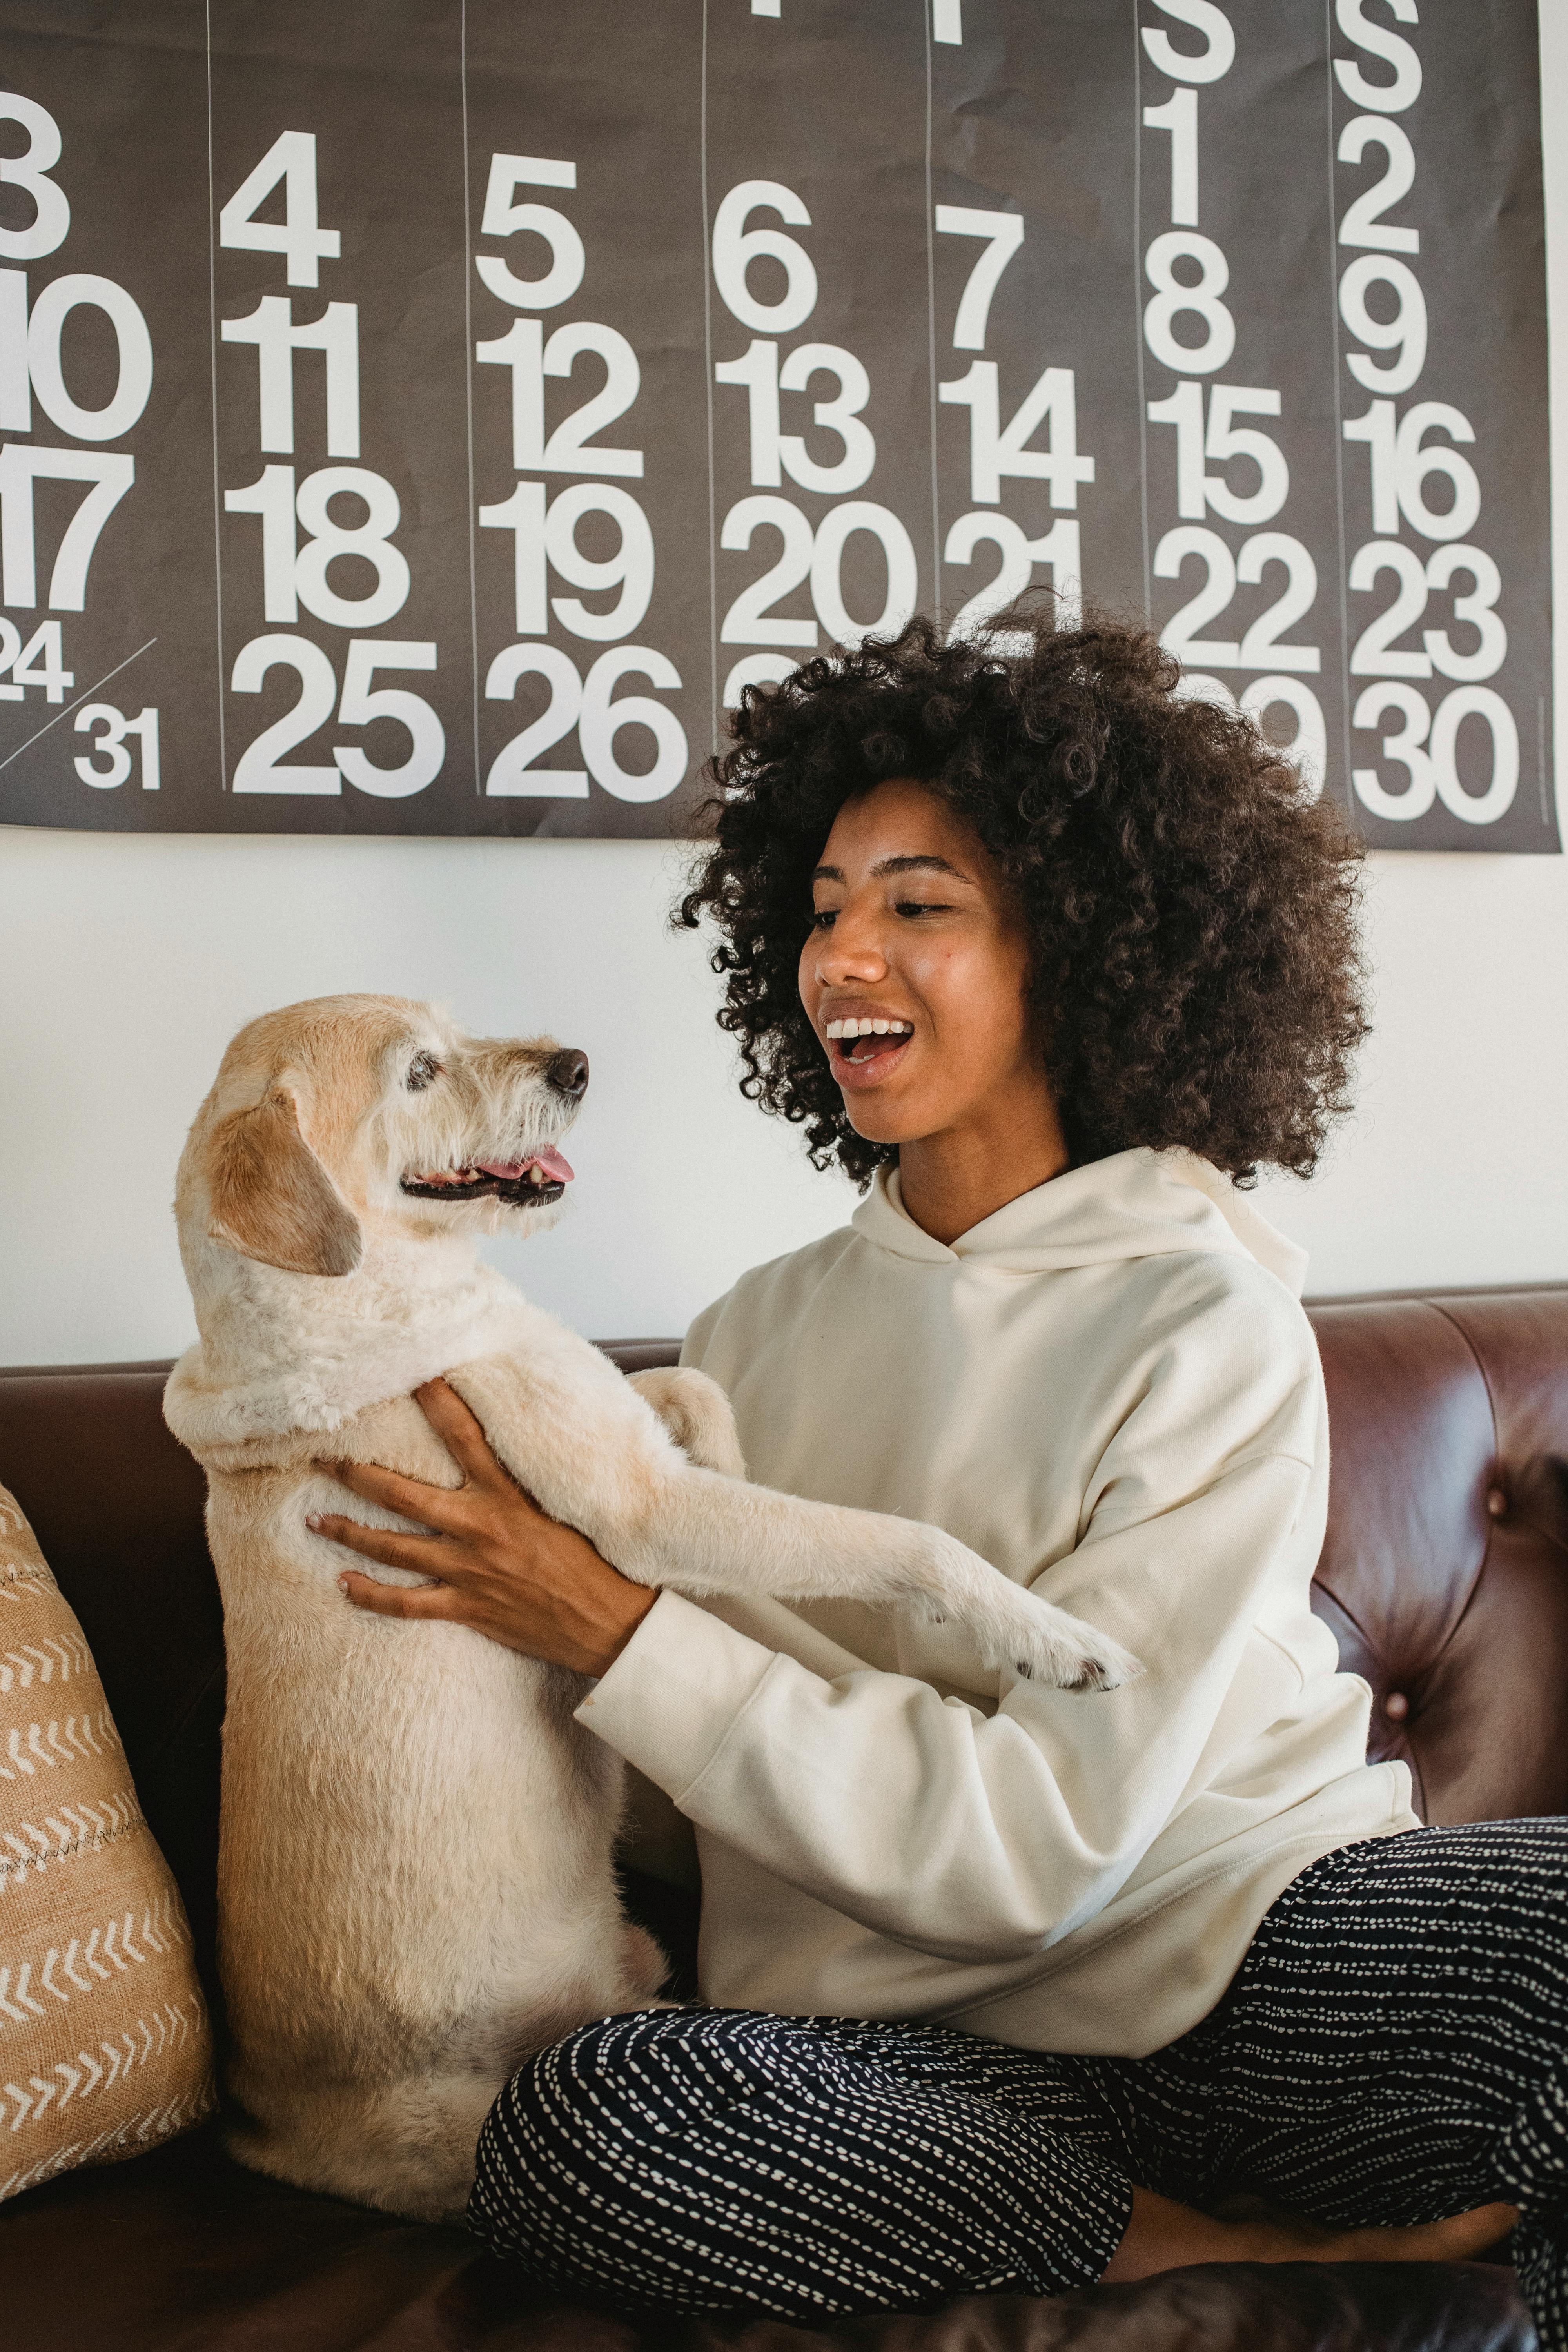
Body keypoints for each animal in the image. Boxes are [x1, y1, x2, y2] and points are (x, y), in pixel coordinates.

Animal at [162, 993, 1142, 2220]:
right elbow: (901, 1542)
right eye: (419, 1073)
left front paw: (736, 1461)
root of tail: (267, 2132)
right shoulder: (639, 1507)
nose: (578, 1065)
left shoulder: (624, 1431)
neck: (330, 1301)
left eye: (445, 1032)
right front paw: (1055, 1637)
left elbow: (693, 1386)